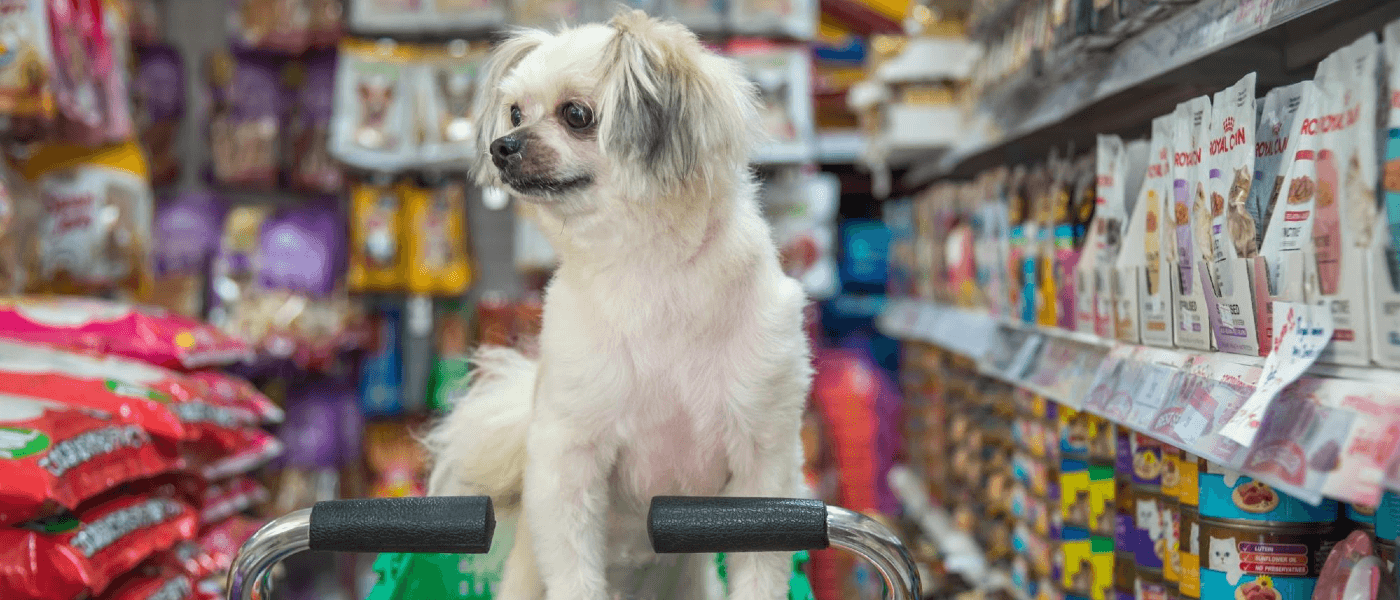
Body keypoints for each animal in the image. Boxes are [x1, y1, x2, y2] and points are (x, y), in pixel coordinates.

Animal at [431, 10, 817, 600]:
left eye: (576, 115)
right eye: (515, 111)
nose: (502, 145)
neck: (649, 274)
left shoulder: (763, 465)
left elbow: (761, 571)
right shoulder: (568, 462)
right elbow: (574, 569)